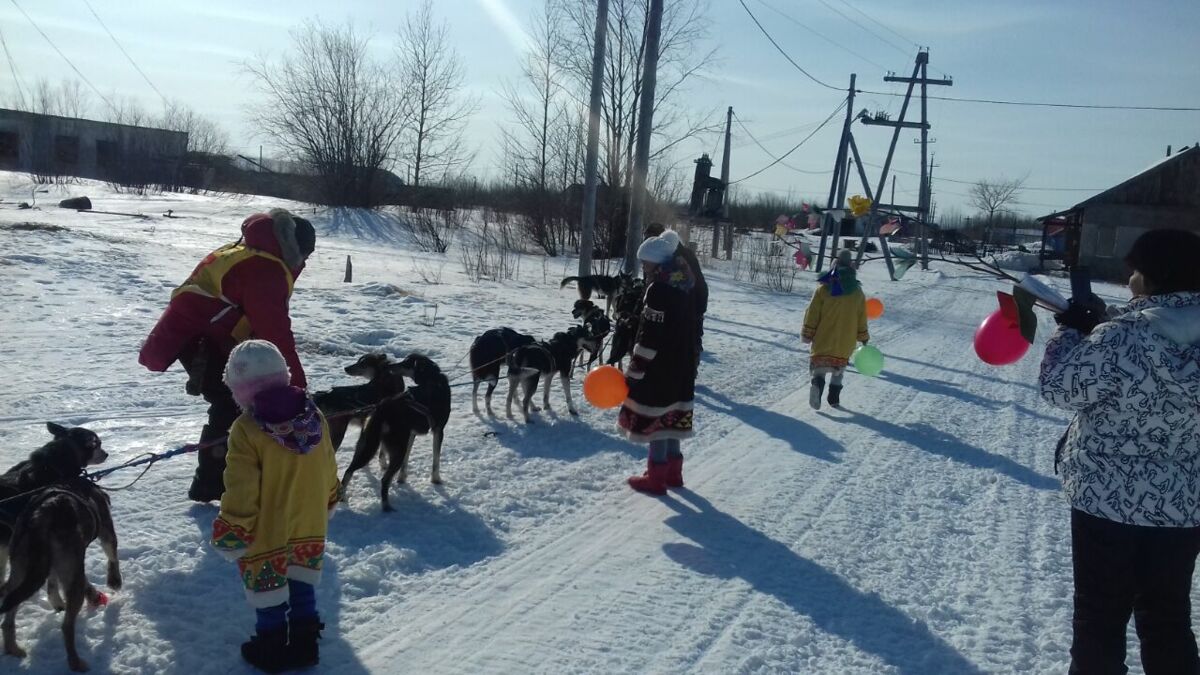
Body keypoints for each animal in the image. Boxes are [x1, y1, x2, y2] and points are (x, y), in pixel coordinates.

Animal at [340, 353, 451, 509]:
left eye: (405, 363)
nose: (390, 365)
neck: (433, 381)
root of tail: (381, 408)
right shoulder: (438, 430)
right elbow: (436, 459)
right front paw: (436, 480)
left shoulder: (411, 434)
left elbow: (406, 462)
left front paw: (402, 478)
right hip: (394, 448)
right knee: (384, 479)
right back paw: (386, 506)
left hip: (367, 445)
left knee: (348, 471)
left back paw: (343, 498)